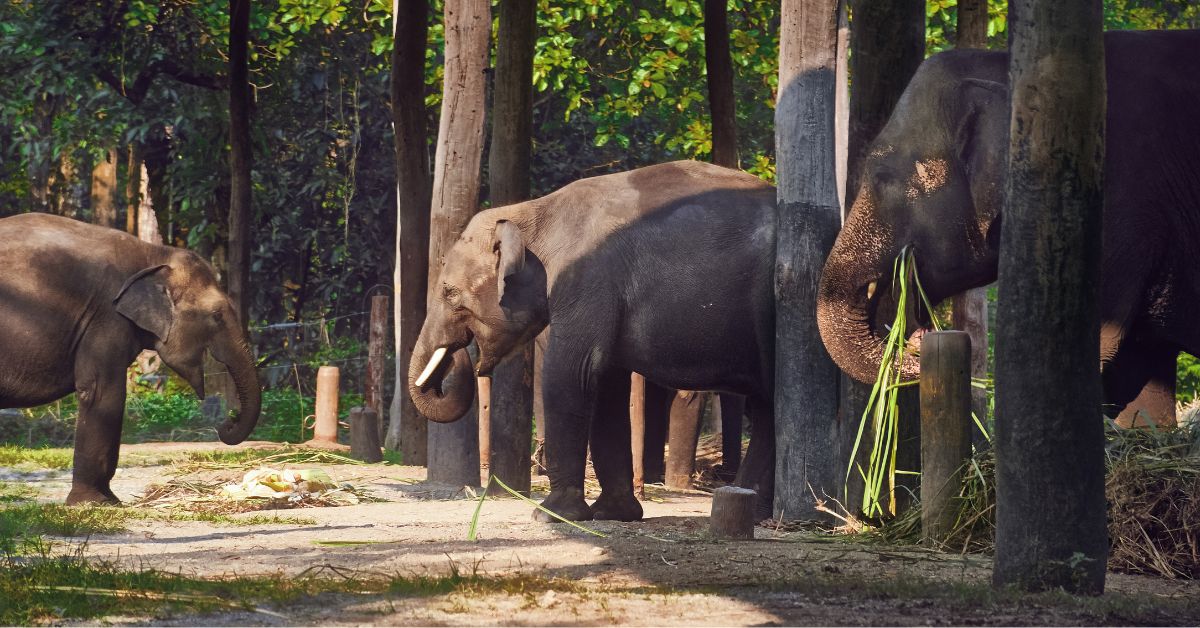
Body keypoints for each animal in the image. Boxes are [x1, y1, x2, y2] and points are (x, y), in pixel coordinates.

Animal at [0, 213, 262, 504]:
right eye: (216, 316)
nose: (227, 422)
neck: (155, 254)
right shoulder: (106, 317)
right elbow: (103, 392)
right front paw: (95, 503)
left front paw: (110, 501)